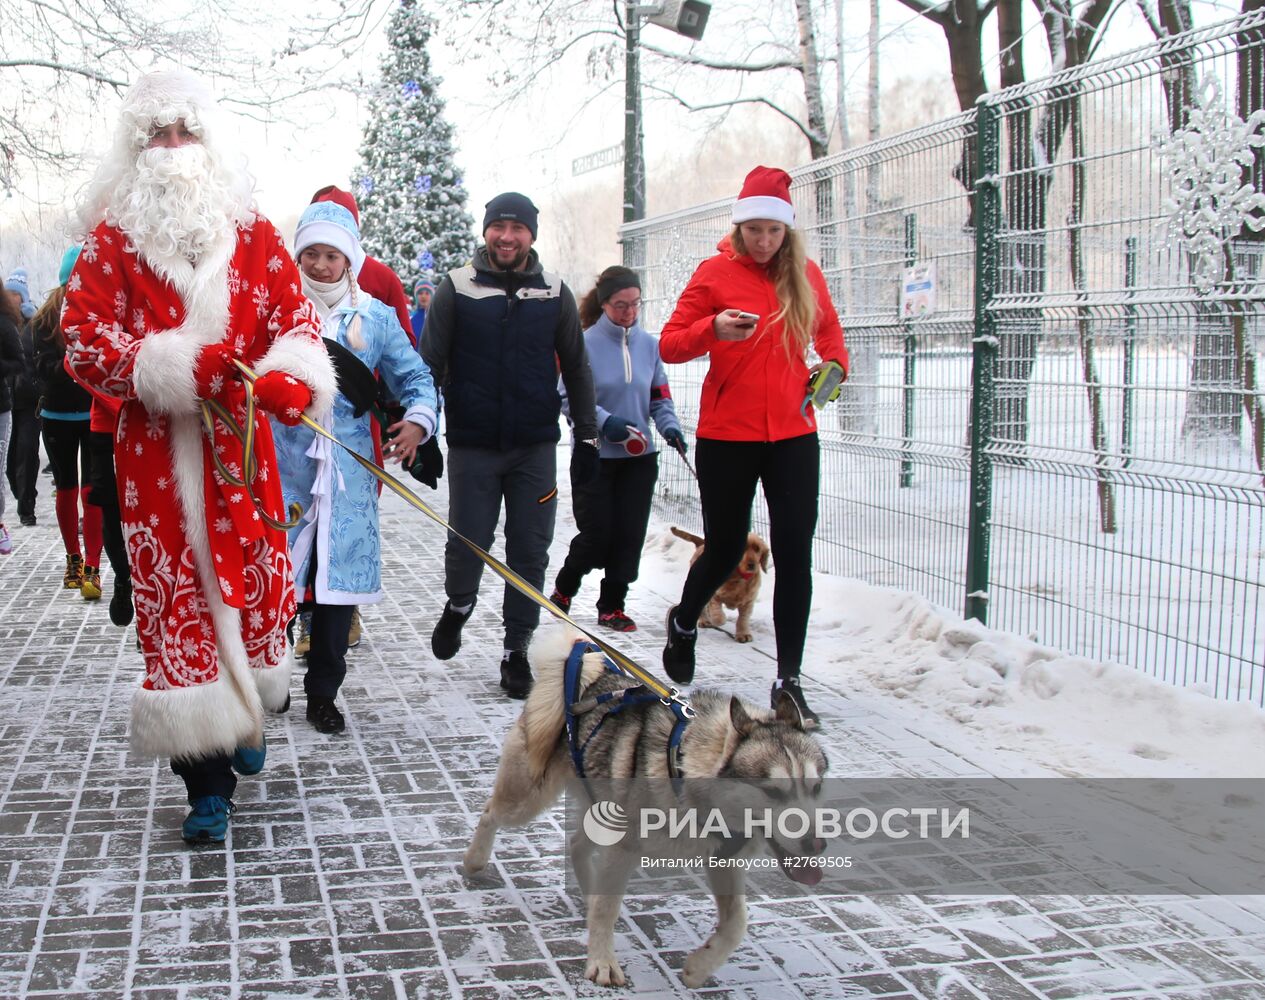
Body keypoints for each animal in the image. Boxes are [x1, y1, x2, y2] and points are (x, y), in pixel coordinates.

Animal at [465, 629, 829, 991]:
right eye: (772, 791)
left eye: (816, 787)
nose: (817, 844)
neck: (686, 772)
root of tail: (580, 669)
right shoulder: (624, 849)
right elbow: (607, 910)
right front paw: (602, 961)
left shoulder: (724, 860)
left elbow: (737, 922)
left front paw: (700, 966)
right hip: (527, 798)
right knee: (490, 812)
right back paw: (474, 859)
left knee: (577, 844)